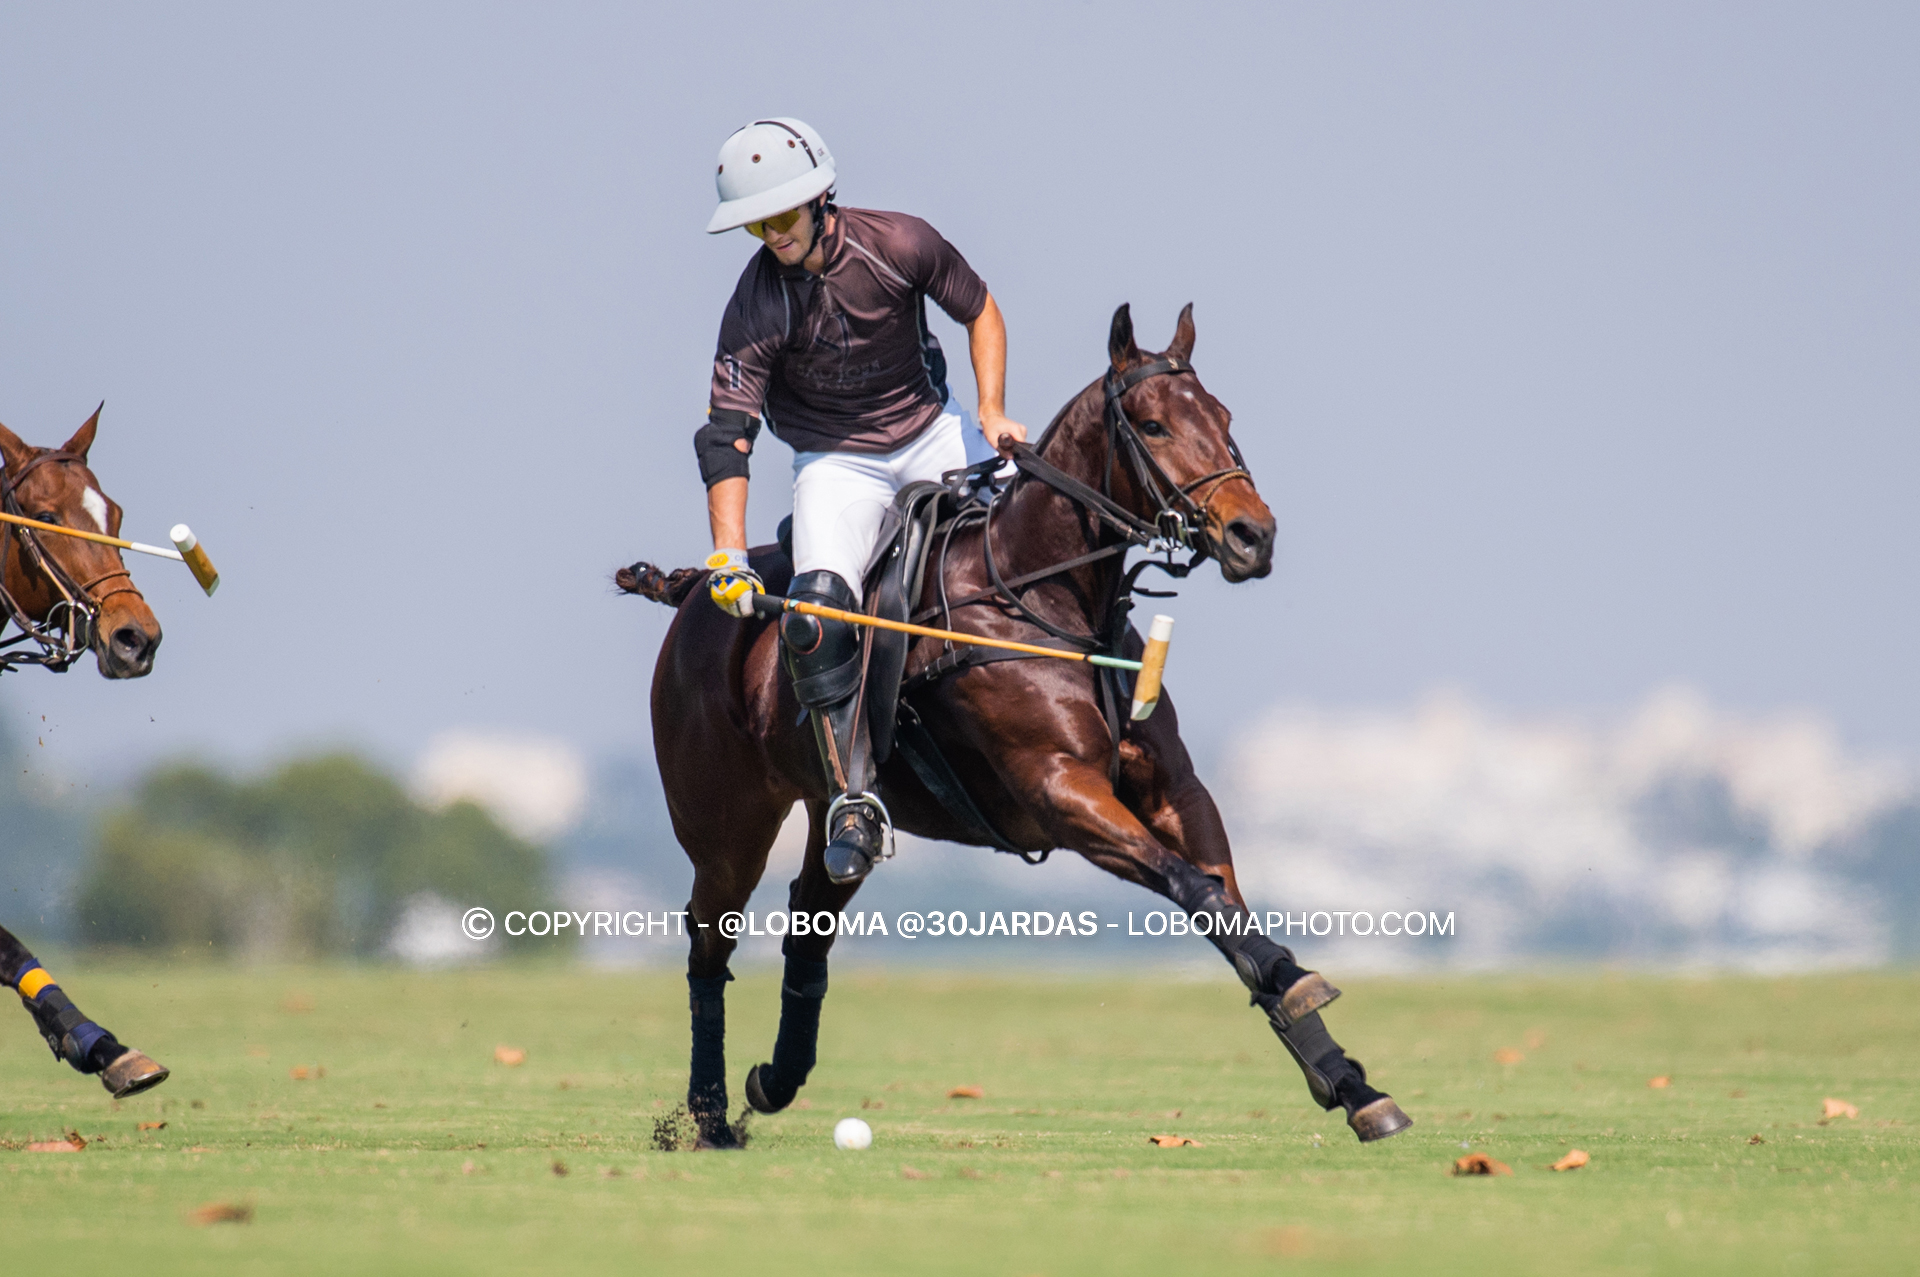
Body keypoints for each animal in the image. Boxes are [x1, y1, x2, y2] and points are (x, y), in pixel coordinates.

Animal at [629, 307, 1413, 1144]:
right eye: (1153, 424)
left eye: (1225, 419)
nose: (1252, 536)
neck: (1048, 599)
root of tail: (697, 591)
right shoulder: (1059, 790)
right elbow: (1191, 883)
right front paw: (1296, 988)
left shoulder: (1175, 789)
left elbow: (1223, 897)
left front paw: (1350, 1081)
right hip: (728, 821)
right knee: (708, 940)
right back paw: (710, 1115)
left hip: (831, 813)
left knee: (811, 915)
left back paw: (774, 1078)